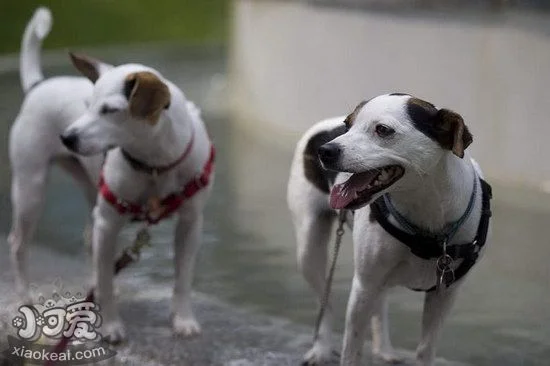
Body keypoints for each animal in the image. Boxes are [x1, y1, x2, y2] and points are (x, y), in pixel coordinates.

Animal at [9, 9, 216, 346]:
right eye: (86, 105)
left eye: (109, 110)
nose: (66, 137)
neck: (155, 164)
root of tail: (38, 85)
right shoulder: (109, 223)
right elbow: (105, 282)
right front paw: (110, 326)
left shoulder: (190, 224)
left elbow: (183, 278)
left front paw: (183, 319)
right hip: (31, 189)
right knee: (18, 243)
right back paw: (25, 297)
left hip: (89, 192)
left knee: (89, 241)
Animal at [288, 93, 496, 364]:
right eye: (348, 125)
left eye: (383, 130)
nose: (325, 151)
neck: (424, 211)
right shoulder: (364, 285)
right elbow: (351, 349)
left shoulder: (444, 294)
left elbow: (425, 349)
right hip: (309, 251)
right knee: (326, 302)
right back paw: (322, 348)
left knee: (379, 303)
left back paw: (384, 349)